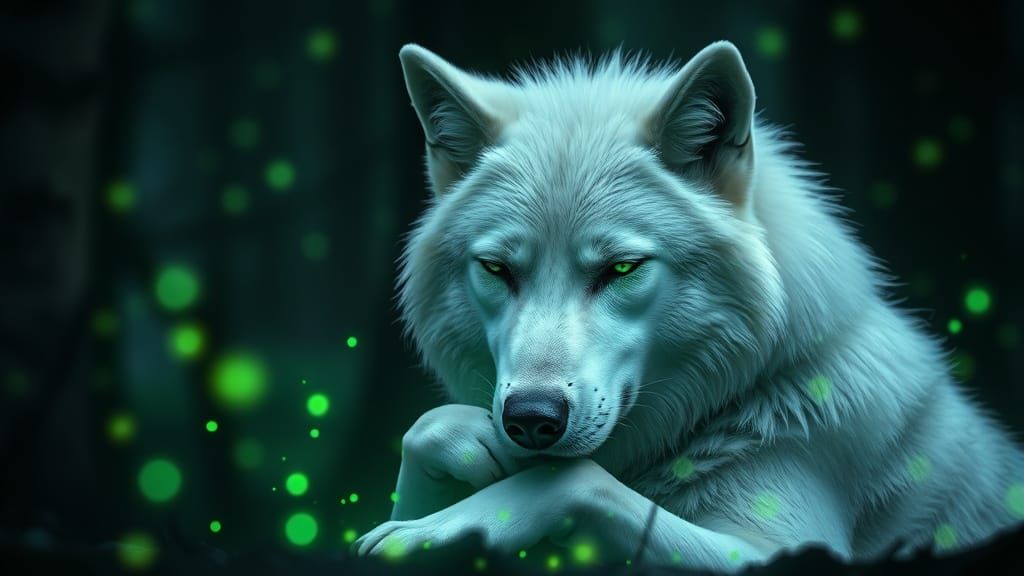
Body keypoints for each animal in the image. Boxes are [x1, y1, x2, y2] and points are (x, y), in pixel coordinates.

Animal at [354, 41, 1024, 570]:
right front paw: (470, 450)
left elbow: (576, 479)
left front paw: (429, 530)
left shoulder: (784, 545)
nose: (531, 419)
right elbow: (430, 426)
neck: (742, 397)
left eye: (622, 268)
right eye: (497, 269)